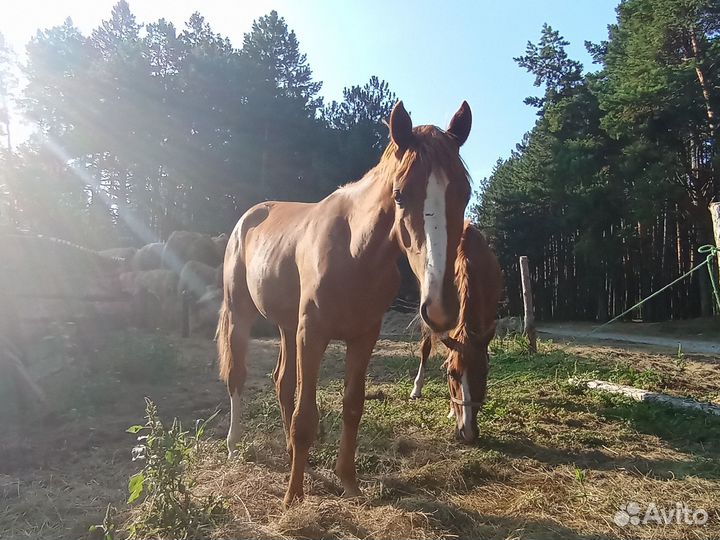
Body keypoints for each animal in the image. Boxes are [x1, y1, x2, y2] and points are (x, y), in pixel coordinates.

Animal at [217, 101, 473, 506]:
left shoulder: (363, 336)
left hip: (287, 326)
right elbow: (305, 418)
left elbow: (352, 406)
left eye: (464, 194)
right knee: (238, 377)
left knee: (282, 382)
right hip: (241, 314)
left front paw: (348, 482)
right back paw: (233, 444)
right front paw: (293, 498)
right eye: (400, 195)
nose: (440, 307)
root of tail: (249, 216)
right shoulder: (313, 334)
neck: (355, 253)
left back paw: (288, 452)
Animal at [410, 222, 502, 443]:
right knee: (425, 347)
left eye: (484, 372)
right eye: (451, 374)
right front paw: (453, 409)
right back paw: (417, 388)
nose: (467, 432)